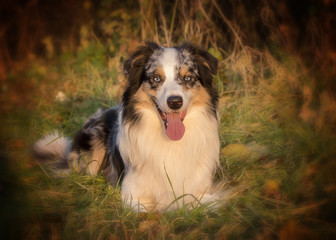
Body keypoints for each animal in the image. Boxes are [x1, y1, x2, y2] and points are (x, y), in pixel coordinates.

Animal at [33, 41, 220, 212]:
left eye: (188, 78)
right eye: (156, 78)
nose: (175, 102)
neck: (170, 142)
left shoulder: (202, 192)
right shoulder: (133, 194)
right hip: (94, 142)